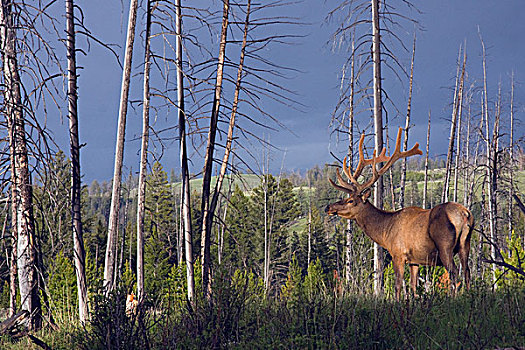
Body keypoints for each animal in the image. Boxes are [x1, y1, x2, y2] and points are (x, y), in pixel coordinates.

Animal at [326, 129, 472, 300]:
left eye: (350, 200)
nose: (329, 207)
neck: (385, 232)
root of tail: (464, 214)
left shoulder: (398, 254)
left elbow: (397, 285)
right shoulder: (415, 261)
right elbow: (413, 286)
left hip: (445, 246)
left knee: (454, 273)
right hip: (465, 244)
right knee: (467, 272)